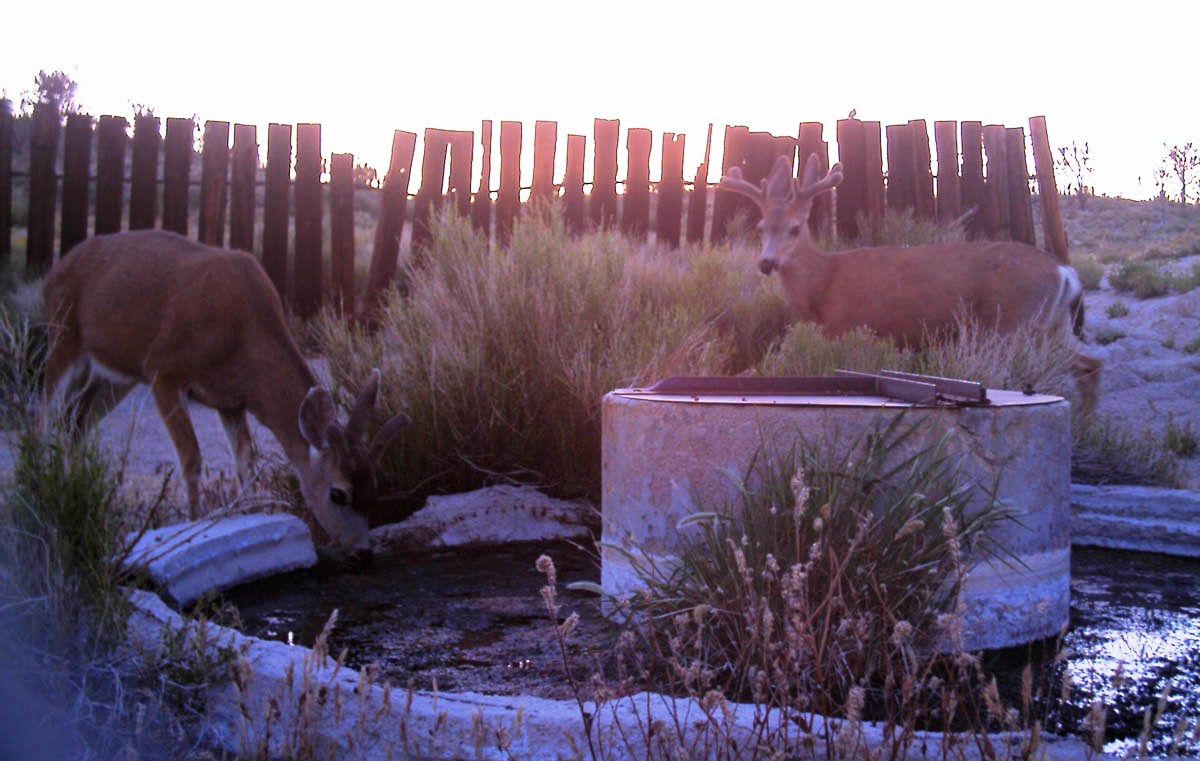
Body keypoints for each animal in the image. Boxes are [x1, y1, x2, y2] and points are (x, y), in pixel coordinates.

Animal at [42, 229, 410, 560]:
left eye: (374, 486)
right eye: (337, 494)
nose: (362, 550)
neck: (241, 329)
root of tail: (55, 270)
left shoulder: (231, 400)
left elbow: (246, 462)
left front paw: (250, 517)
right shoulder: (163, 370)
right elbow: (191, 458)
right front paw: (194, 522)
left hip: (115, 374)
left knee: (76, 417)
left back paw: (76, 484)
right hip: (63, 335)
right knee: (43, 412)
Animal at [719, 154, 1101, 414]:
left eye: (795, 228)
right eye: (761, 228)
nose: (766, 263)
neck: (822, 282)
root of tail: (1064, 272)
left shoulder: (846, 326)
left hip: (1014, 322)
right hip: (1052, 324)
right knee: (1090, 364)